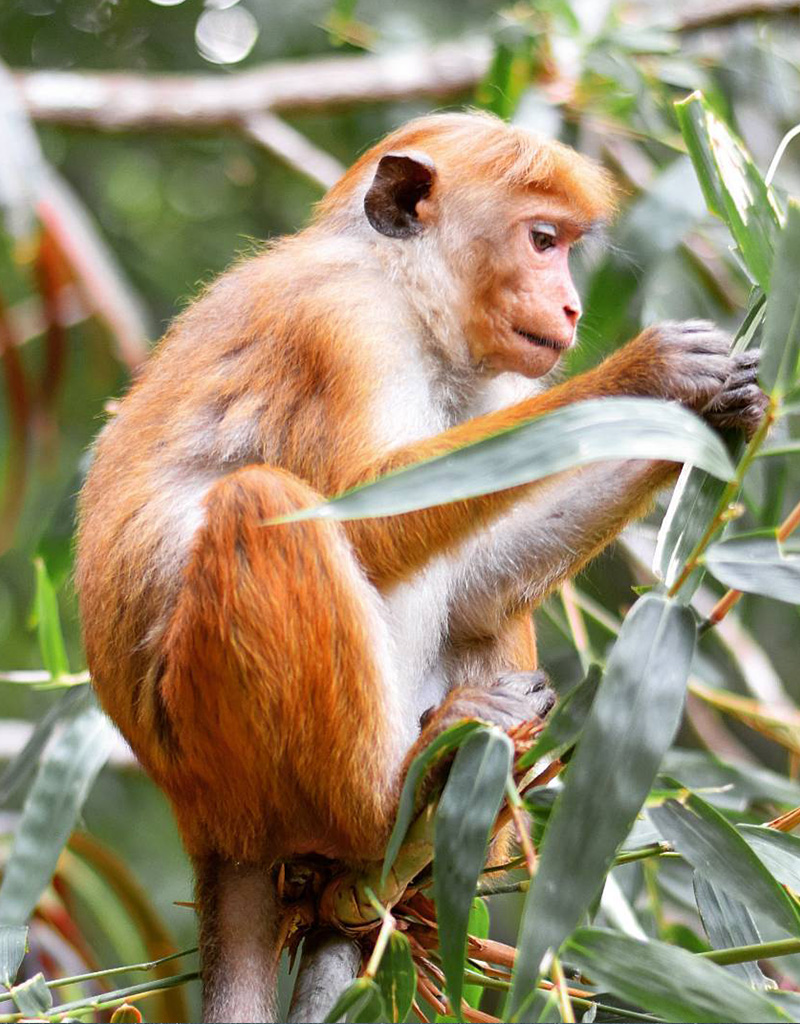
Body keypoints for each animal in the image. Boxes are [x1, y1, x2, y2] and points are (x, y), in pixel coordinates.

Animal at [75, 111, 766, 1023]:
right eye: (542, 241)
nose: (571, 304)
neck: (398, 284)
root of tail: (201, 819)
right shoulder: (343, 331)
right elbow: (353, 513)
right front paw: (647, 374)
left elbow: (476, 575)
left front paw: (716, 410)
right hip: (219, 739)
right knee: (259, 507)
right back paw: (390, 803)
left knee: (478, 604)